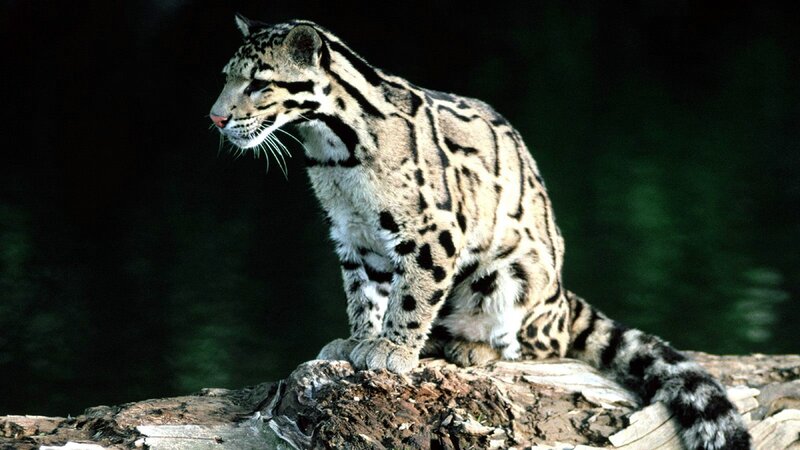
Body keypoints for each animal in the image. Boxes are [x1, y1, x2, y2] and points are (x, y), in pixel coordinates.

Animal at [209, 16, 751, 450]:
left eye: (258, 84)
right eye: (226, 78)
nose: (216, 117)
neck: (333, 150)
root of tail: (564, 298)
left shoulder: (433, 229)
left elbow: (412, 295)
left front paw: (391, 349)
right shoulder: (352, 234)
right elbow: (363, 293)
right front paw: (358, 339)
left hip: (510, 276)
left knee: (537, 344)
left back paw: (471, 346)